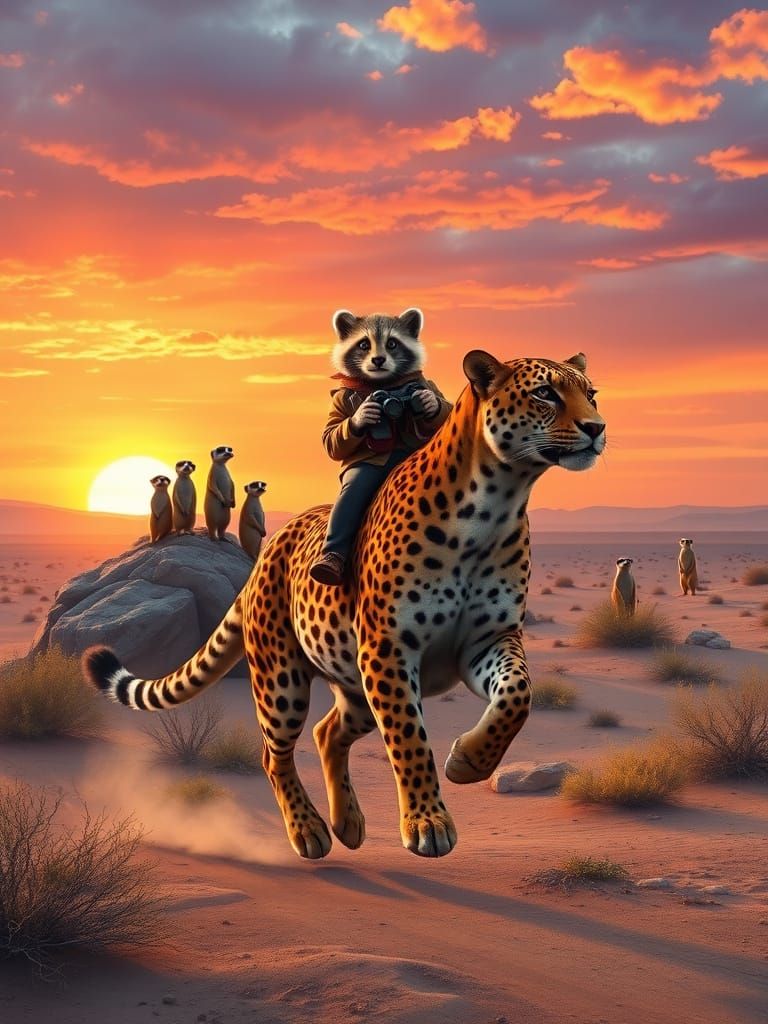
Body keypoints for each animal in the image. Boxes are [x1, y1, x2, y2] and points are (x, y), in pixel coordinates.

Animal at [84, 348, 605, 860]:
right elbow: (409, 738)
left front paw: (468, 762)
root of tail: (272, 547)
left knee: (326, 732)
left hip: (354, 683)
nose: (597, 428)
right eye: (545, 393)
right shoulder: (388, 648)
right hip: (283, 679)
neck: (496, 502)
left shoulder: (488, 639)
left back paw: (348, 823)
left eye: (591, 393)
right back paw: (309, 831)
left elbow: (518, 695)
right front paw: (427, 822)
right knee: (273, 753)